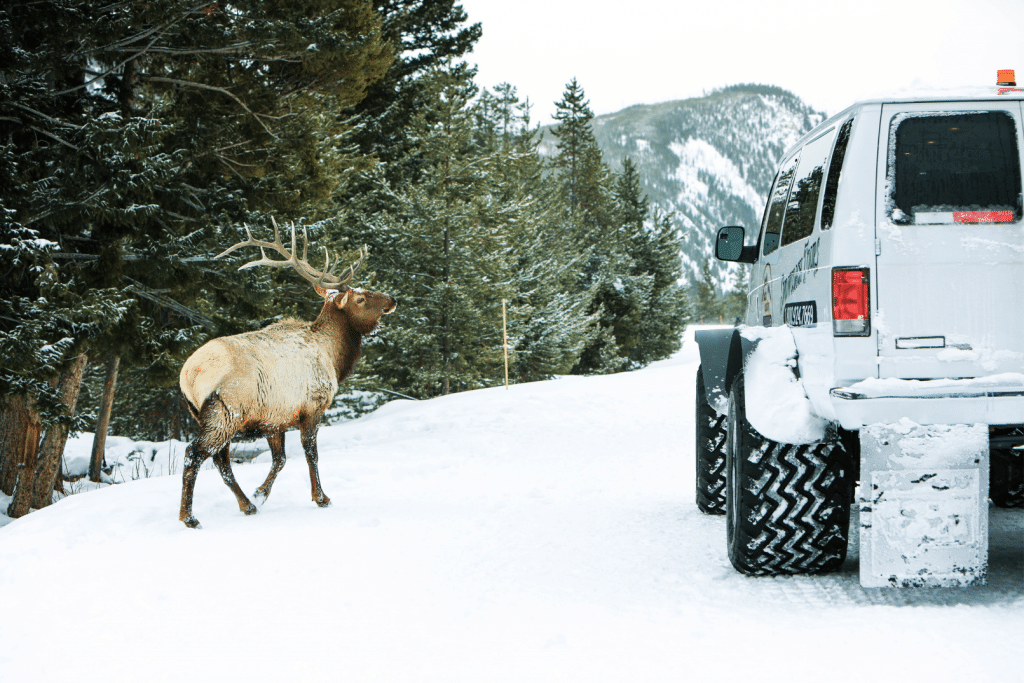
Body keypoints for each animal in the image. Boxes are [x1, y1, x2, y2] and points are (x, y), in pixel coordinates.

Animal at [177, 219, 397, 528]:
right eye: (362, 298)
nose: (392, 299)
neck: (334, 357)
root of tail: (188, 375)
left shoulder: (275, 419)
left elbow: (279, 460)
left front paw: (260, 493)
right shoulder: (313, 406)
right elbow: (310, 453)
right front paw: (321, 498)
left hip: (207, 415)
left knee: (221, 461)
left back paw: (247, 504)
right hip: (227, 411)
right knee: (194, 454)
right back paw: (189, 517)